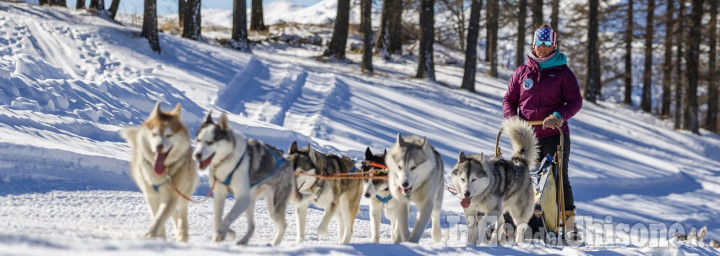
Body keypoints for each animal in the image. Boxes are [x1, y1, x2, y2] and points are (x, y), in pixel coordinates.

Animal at [119, 102, 198, 242]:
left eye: (169, 135)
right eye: (154, 134)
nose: (159, 146)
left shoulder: (171, 196)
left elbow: (160, 218)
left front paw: (150, 234)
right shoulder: (151, 195)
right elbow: (157, 215)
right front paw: (159, 236)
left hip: (184, 193)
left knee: (182, 212)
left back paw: (182, 235)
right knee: (175, 213)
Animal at [193, 112, 294, 246]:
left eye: (210, 142)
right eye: (198, 140)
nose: (197, 155)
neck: (227, 160)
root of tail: (286, 160)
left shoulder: (242, 198)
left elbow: (228, 217)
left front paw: (220, 233)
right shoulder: (220, 194)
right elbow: (218, 218)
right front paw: (228, 232)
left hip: (272, 207)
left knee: (283, 225)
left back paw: (275, 244)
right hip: (250, 202)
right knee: (252, 226)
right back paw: (244, 240)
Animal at [452, 117, 536, 245]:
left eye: (474, 179)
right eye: (462, 179)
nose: (466, 193)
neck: (480, 196)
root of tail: (520, 162)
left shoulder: (494, 210)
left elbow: (481, 223)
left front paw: (477, 238)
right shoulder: (470, 211)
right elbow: (472, 229)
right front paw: (470, 244)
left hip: (518, 212)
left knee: (521, 227)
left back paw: (518, 244)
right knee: (501, 222)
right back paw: (493, 240)